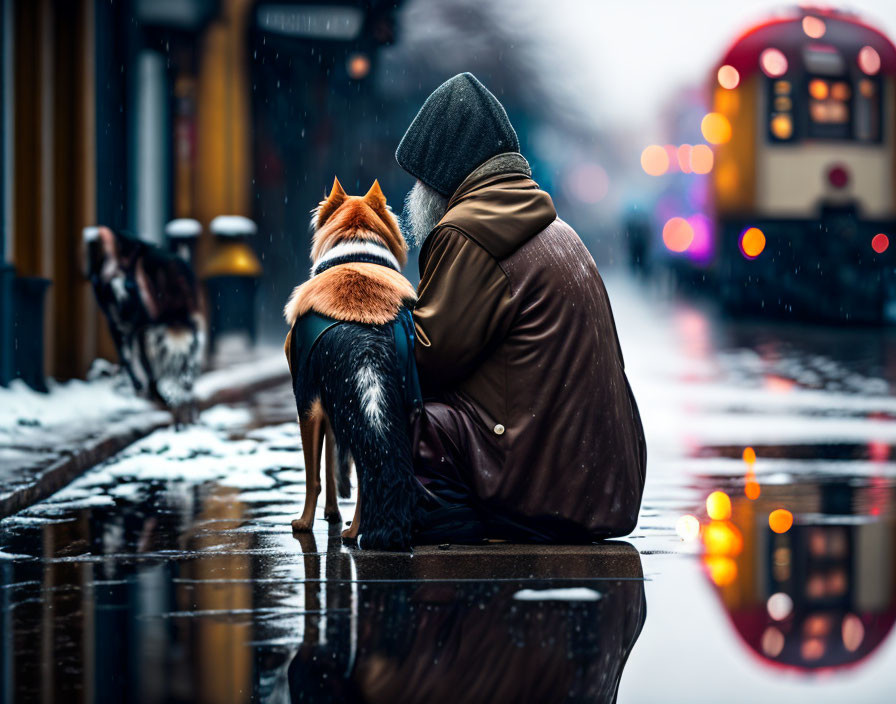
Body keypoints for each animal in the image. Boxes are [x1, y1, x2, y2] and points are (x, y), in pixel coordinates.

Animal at [288, 177, 424, 552]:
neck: (355, 253)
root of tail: (364, 339)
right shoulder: (333, 405)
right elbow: (335, 464)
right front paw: (335, 514)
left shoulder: (309, 400)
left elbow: (318, 473)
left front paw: (313, 520)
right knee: (369, 470)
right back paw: (355, 531)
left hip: (322, 403)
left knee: (338, 472)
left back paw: (327, 529)